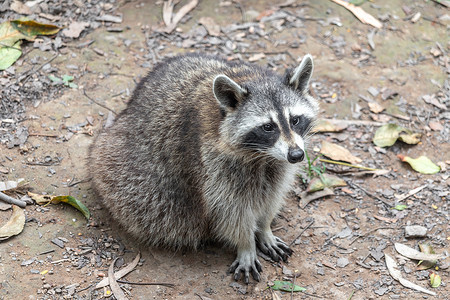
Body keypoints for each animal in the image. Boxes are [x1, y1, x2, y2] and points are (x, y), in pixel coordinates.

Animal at [89, 53, 318, 282]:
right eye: (268, 127)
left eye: (295, 120)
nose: (296, 155)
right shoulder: (212, 166)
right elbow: (230, 212)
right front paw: (246, 244)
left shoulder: (277, 165)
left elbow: (272, 196)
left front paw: (264, 228)